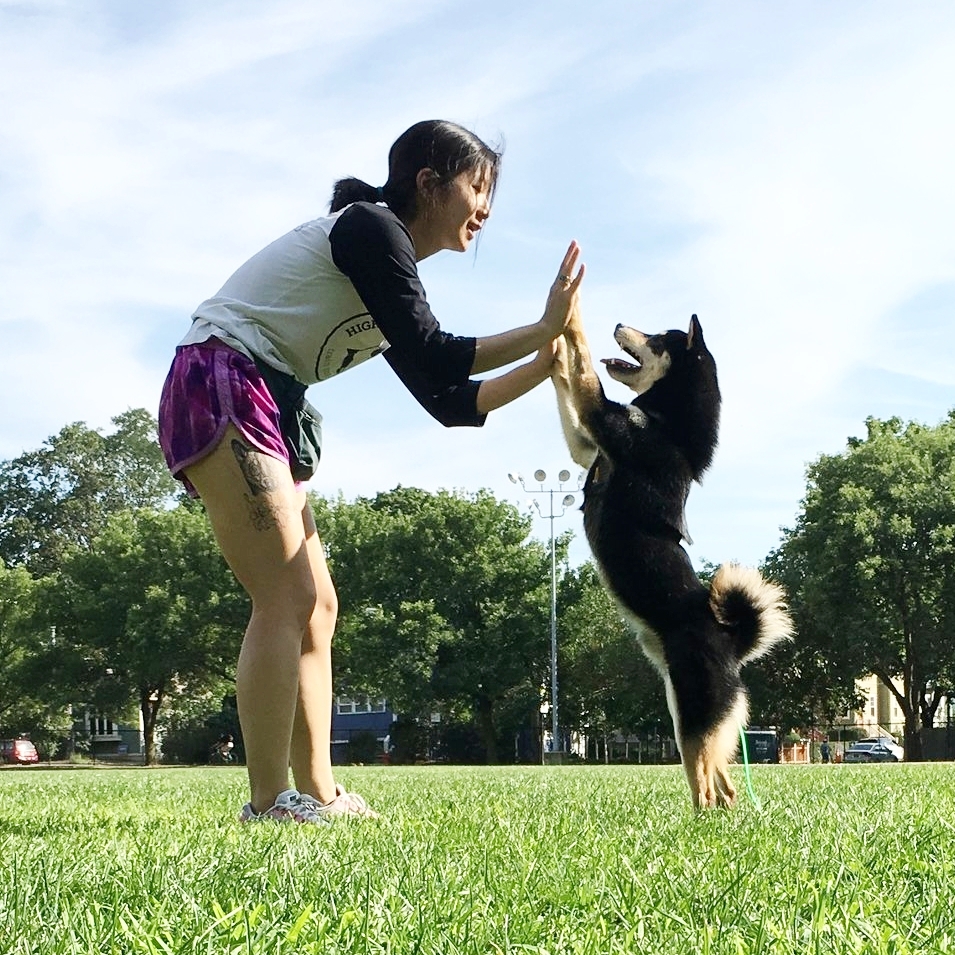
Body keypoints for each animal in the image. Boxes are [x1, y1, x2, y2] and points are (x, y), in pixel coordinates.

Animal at [552, 312, 792, 808]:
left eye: (659, 338)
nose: (620, 323)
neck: (667, 426)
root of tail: (731, 641)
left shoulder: (603, 419)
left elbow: (582, 368)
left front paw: (567, 317)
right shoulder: (587, 443)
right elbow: (568, 381)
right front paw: (550, 350)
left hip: (693, 718)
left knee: (705, 786)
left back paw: (697, 820)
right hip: (689, 717)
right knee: (725, 785)